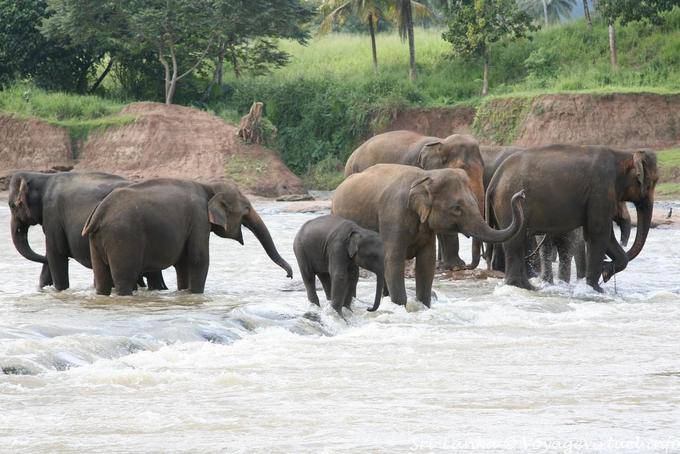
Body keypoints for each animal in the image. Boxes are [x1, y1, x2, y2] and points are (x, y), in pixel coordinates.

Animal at [7, 171, 167, 291]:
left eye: (12, 206)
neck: (42, 177)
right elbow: (51, 256)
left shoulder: (52, 215)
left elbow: (56, 253)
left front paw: (60, 291)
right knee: (154, 275)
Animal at [81, 178, 292, 295]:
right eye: (246, 209)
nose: (289, 275)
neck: (208, 186)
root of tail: (99, 213)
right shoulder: (199, 218)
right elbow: (199, 259)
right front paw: (196, 294)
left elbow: (183, 264)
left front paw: (184, 292)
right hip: (123, 238)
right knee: (124, 277)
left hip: (96, 240)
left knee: (102, 277)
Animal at [332, 164, 525, 307]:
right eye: (457, 208)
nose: (520, 194)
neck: (425, 176)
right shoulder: (392, 216)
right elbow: (393, 259)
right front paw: (402, 305)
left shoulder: (426, 227)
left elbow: (427, 262)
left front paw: (423, 305)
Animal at [344, 130, 485, 271]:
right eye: (462, 168)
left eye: (483, 168)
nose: (468, 266)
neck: (441, 142)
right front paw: (457, 266)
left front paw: (449, 265)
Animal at [486, 145, 657, 292]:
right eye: (651, 183)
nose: (606, 265)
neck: (624, 154)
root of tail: (494, 179)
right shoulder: (601, 189)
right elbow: (599, 234)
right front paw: (596, 289)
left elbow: (606, 236)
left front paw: (605, 274)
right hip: (507, 200)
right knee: (515, 241)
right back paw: (523, 286)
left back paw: (528, 286)